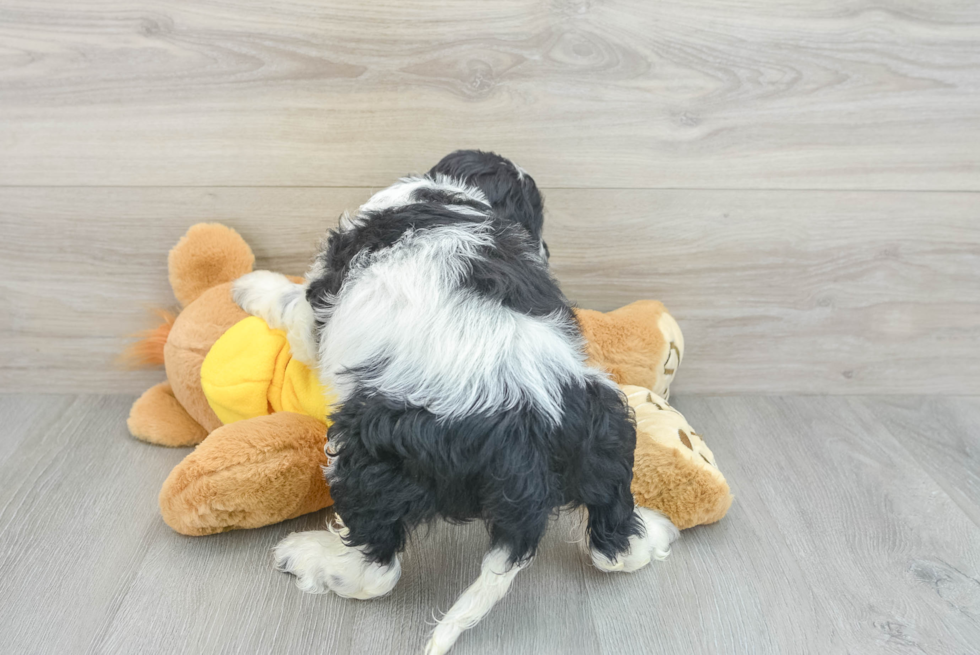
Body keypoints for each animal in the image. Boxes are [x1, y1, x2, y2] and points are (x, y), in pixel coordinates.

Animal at [233, 150, 676, 655]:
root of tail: (525, 441)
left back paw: (308, 557)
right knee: (612, 531)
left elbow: (292, 308)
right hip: (606, 434)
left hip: (372, 456)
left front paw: (252, 286)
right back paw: (650, 537)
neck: (455, 195)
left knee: (375, 566)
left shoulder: (318, 301)